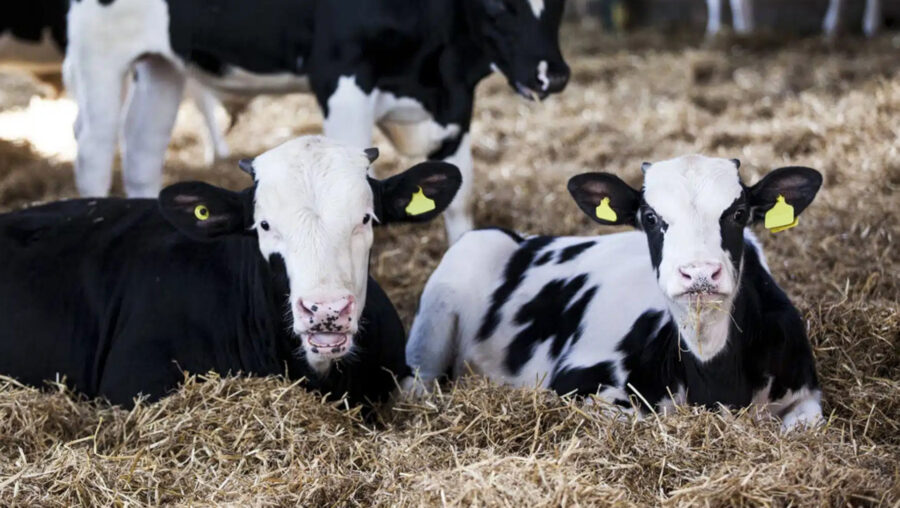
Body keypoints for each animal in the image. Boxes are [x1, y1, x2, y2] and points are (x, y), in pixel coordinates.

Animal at [63, 0, 568, 244]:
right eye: (498, 5)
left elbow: (460, 200)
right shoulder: (342, 78)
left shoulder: (456, 107)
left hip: (162, 65)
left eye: (558, 3)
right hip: (100, 54)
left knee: (142, 148)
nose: (555, 74)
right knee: (94, 146)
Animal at [406, 154, 824, 428]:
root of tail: (521, 238)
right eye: (650, 217)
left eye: (738, 214)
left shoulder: (806, 395)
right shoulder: (576, 381)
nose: (699, 273)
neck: (718, 381)